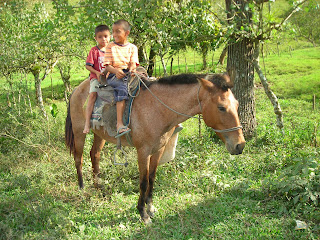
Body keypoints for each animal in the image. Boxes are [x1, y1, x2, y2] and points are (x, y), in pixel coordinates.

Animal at [64, 72, 245, 224]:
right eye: (221, 107)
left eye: (237, 105)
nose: (240, 145)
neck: (157, 109)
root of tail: (77, 89)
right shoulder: (143, 152)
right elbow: (143, 182)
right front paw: (142, 213)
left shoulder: (158, 149)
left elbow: (151, 177)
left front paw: (150, 207)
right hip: (80, 132)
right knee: (79, 158)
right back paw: (82, 189)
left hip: (99, 134)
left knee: (94, 154)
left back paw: (99, 188)